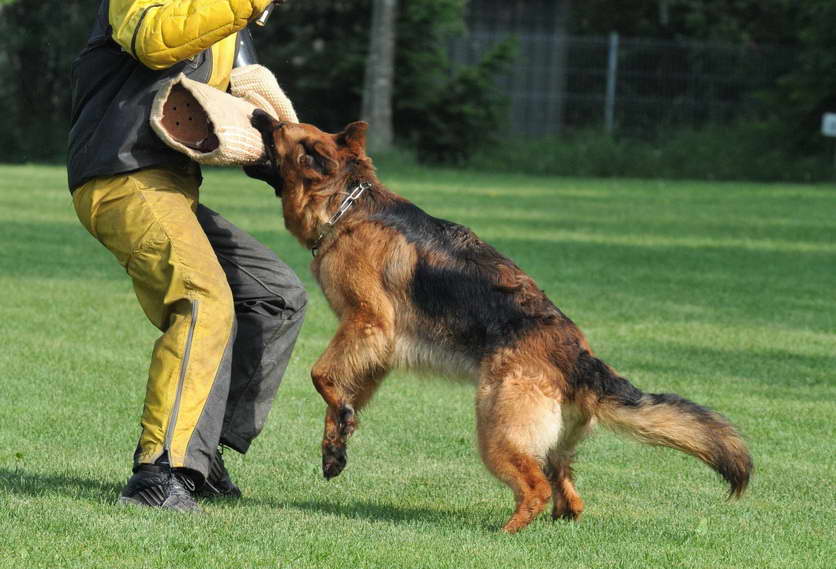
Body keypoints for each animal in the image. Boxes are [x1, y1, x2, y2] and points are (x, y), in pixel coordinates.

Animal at [247, 110, 752, 532]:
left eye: (279, 128)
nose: (254, 112)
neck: (348, 205)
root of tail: (580, 359)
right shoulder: (376, 348)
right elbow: (343, 396)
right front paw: (337, 441)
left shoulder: (367, 323)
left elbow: (320, 376)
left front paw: (339, 417)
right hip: (545, 442)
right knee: (568, 493)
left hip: (496, 431)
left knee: (536, 488)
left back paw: (506, 534)